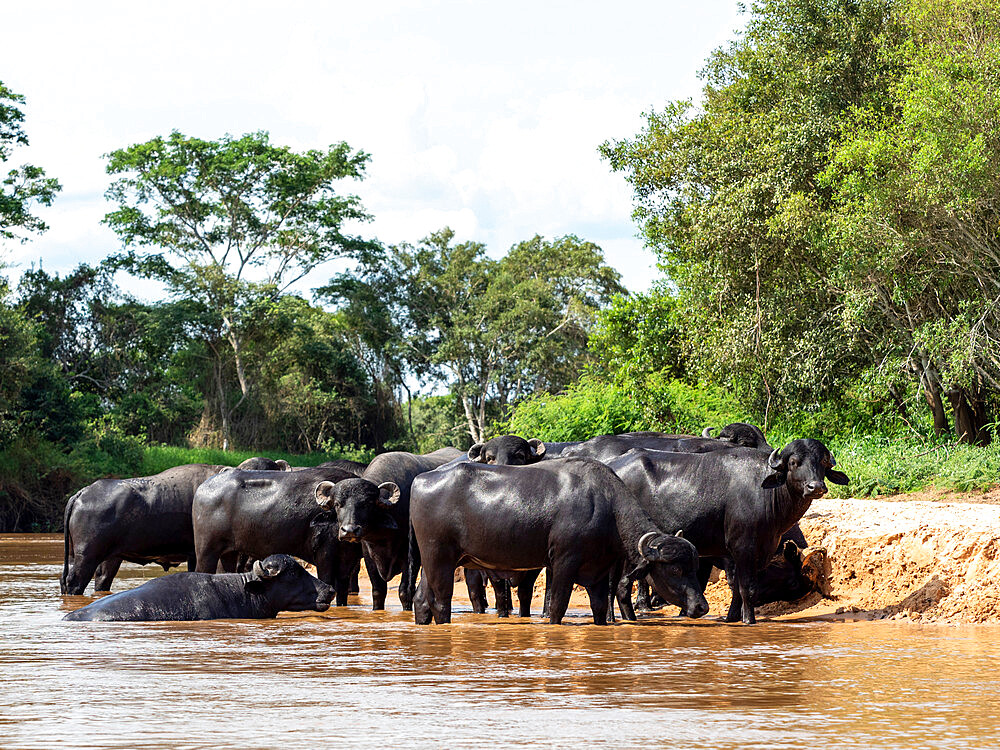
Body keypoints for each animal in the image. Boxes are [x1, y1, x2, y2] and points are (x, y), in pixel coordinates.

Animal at [191, 468, 364, 608]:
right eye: (338, 504)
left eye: (364, 504)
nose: (349, 530)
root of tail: (202, 488)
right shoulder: (325, 557)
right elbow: (327, 581)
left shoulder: (348, 562)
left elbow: (342, 591)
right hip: (207, 551)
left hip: (229, 553)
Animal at [408, 458, 712, 628]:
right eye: (675, 569)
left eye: (695, 567)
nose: (702, 607)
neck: (606, 508)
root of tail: (421, 479)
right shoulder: (564, 563)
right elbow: (557, 605)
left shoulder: (599, 572)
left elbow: (599, 607)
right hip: (440, 559)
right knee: (440, 601)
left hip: (435, 562)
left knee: (421, 599)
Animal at [604, 440, 848, 628]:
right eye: (794, 463)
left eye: (822, 462)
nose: (815, 487)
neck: (767, 495)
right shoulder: (742, 549)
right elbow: (746, 587)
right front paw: (748, 620)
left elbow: (736, 588)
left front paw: (732, 618)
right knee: (619, 584)